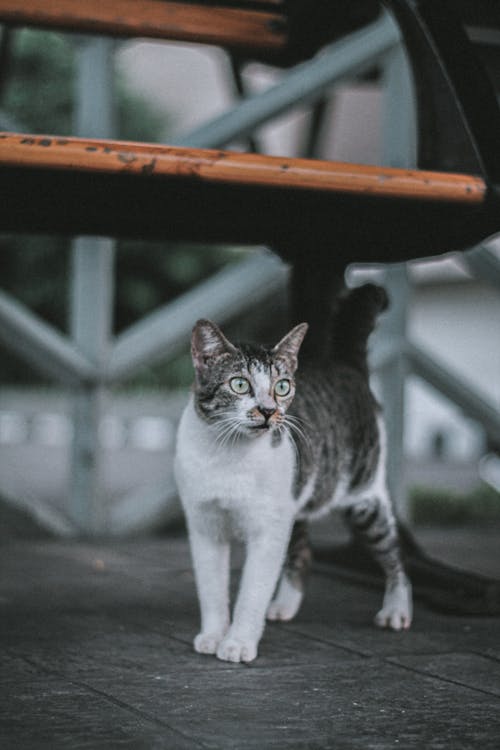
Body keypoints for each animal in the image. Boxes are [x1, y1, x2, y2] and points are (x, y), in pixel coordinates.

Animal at [174, 284, 412, 664]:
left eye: (282, 386)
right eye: (239, 384)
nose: (268, 410)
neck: (229, 455)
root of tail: (348, 367)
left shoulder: (267, 530)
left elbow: (253, 590)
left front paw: (238, 642)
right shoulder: (204, 525)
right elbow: (211, 589)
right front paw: (212, 635)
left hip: (364, 498)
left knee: (393, 551)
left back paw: (397, 609)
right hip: (294, 504)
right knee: (302, 553)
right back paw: (284, 605)